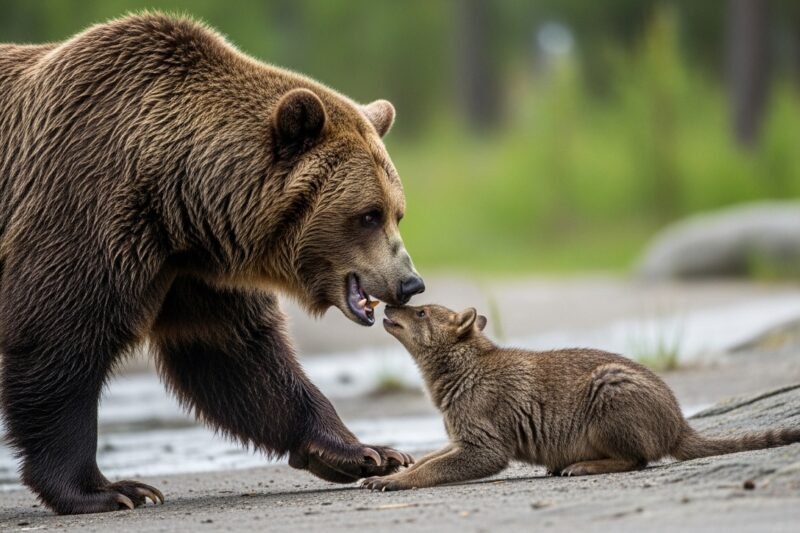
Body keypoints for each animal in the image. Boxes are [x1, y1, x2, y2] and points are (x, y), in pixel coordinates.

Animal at [0, 13, 424, 515]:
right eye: (368, 215)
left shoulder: (192, 271)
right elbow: (57, 340)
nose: (410, 282)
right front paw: (111, 489)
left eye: (397, 212)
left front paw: (368, 451)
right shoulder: (84, 208)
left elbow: (234, 353)